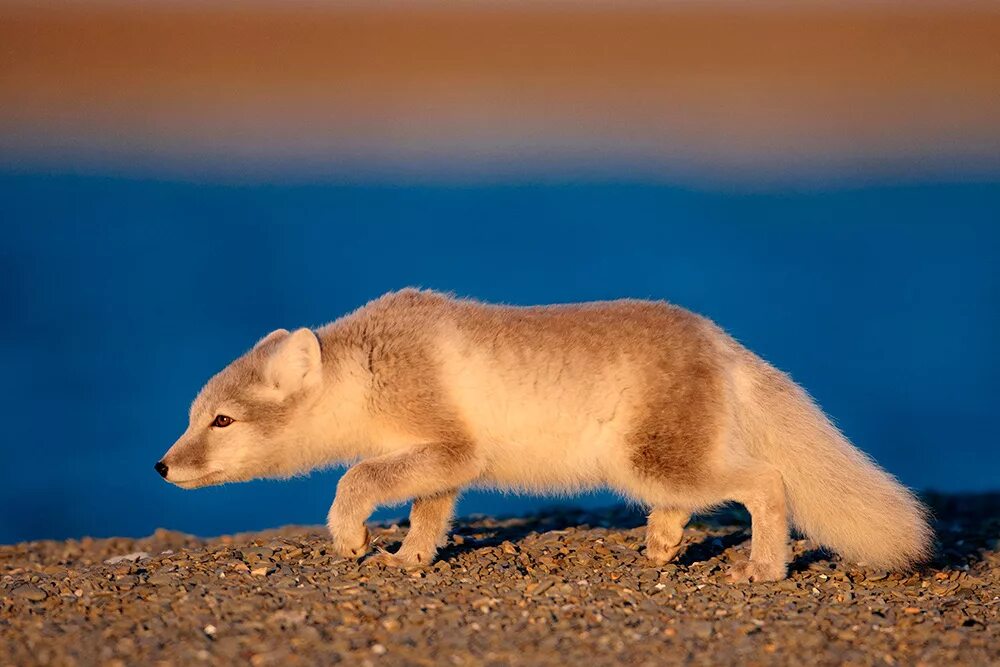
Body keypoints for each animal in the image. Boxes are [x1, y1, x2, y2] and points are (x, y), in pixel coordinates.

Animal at [156, 290, 928, 580]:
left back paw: (763, 567)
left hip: (652, 460)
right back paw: (661, 546)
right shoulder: (443, 462)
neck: (370, 369)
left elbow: (355, 477)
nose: (161, 467)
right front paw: (411, 557)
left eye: (222, 421)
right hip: (656, 463)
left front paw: (350, 537)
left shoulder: (450, 446)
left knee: (767, 483)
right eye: (193, 414)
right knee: (685, 504)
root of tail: (720, 340)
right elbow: (429, 511)